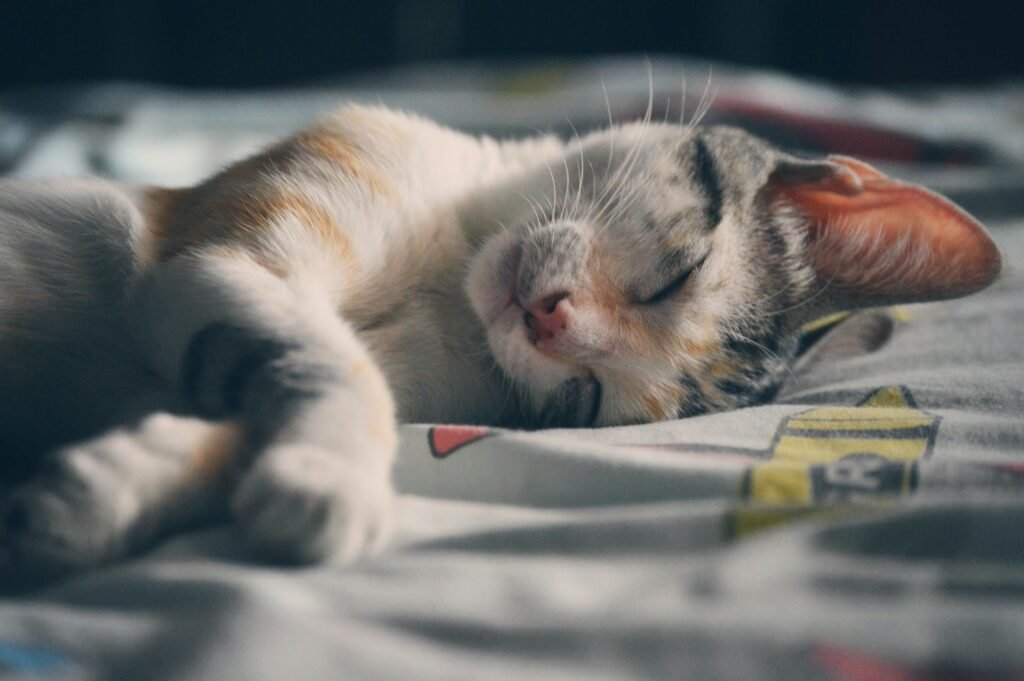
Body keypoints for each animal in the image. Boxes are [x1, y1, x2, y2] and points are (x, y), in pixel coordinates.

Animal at [0, 102, 999, 585]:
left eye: (586, 397)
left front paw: (102, 492)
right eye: (677, 274)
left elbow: (253, 402)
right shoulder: (218, 254)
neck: (451, 275)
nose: (550, 321)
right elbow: (337, 365)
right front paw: (330, 478)